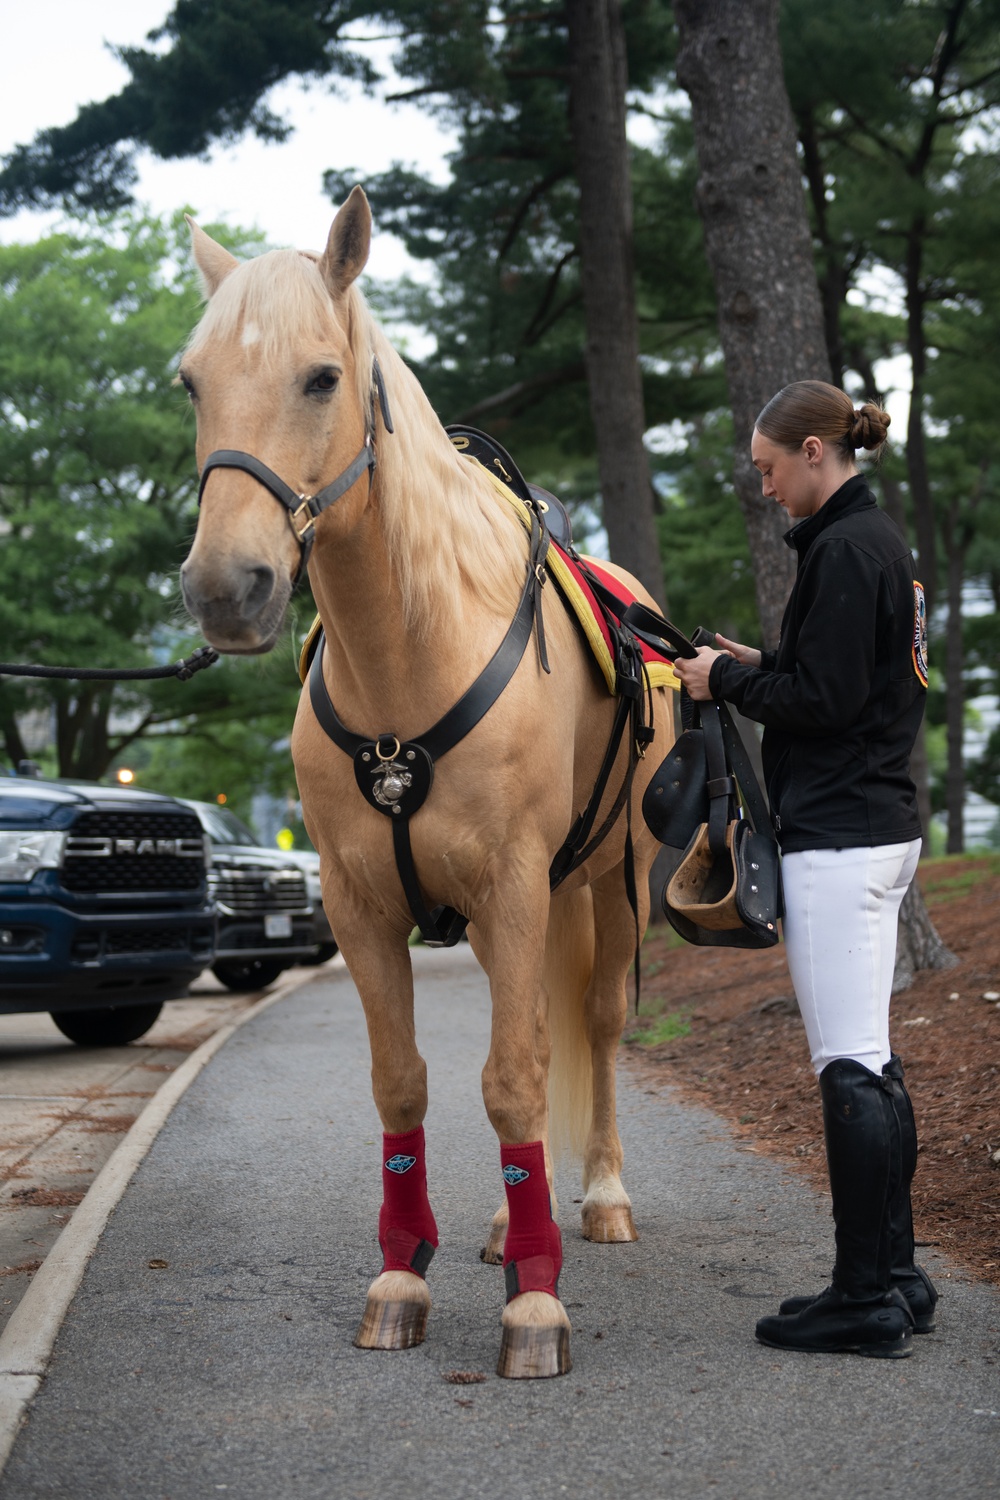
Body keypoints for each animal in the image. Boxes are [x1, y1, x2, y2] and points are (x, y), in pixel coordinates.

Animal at [180, 187, 680, 1380]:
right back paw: (507, 1220)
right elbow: (406, 1081)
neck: (410, 652)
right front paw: (404, 1273)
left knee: (590, 1026)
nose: (226, 589)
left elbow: (515, 1077)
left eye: (322, 377)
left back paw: (596, 1197)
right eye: (190, 382)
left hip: (610, 884)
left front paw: (535, 1303)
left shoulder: (513, 887)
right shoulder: (362, 905)